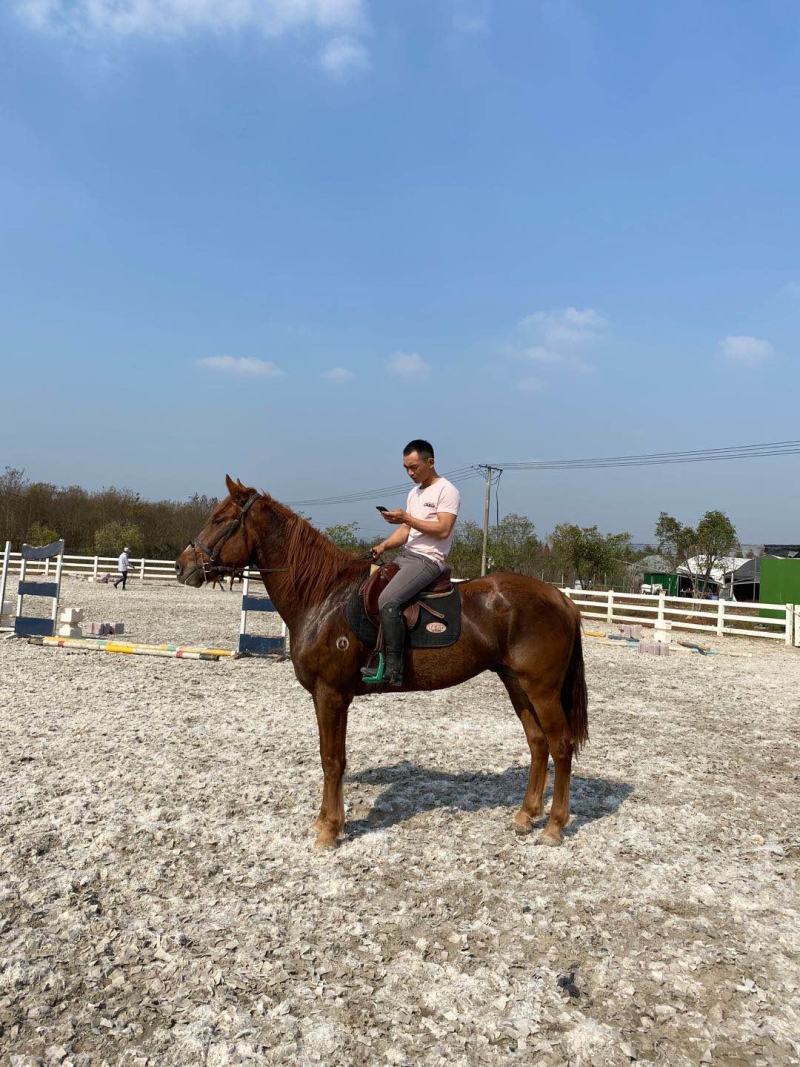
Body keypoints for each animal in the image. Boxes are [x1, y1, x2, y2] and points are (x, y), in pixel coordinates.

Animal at [175, 475, 588, 849]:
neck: (324, 597)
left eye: (220, 519)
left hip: (542, 689)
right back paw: (525, 816)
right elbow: (330, 758)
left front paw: (329, 830)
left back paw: (554, 826)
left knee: (561, 745)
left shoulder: (331, 694)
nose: (182, 566)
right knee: (538, 743)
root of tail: (560, 598)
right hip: (516, 683)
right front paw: (325, 823)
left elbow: (332, 760)